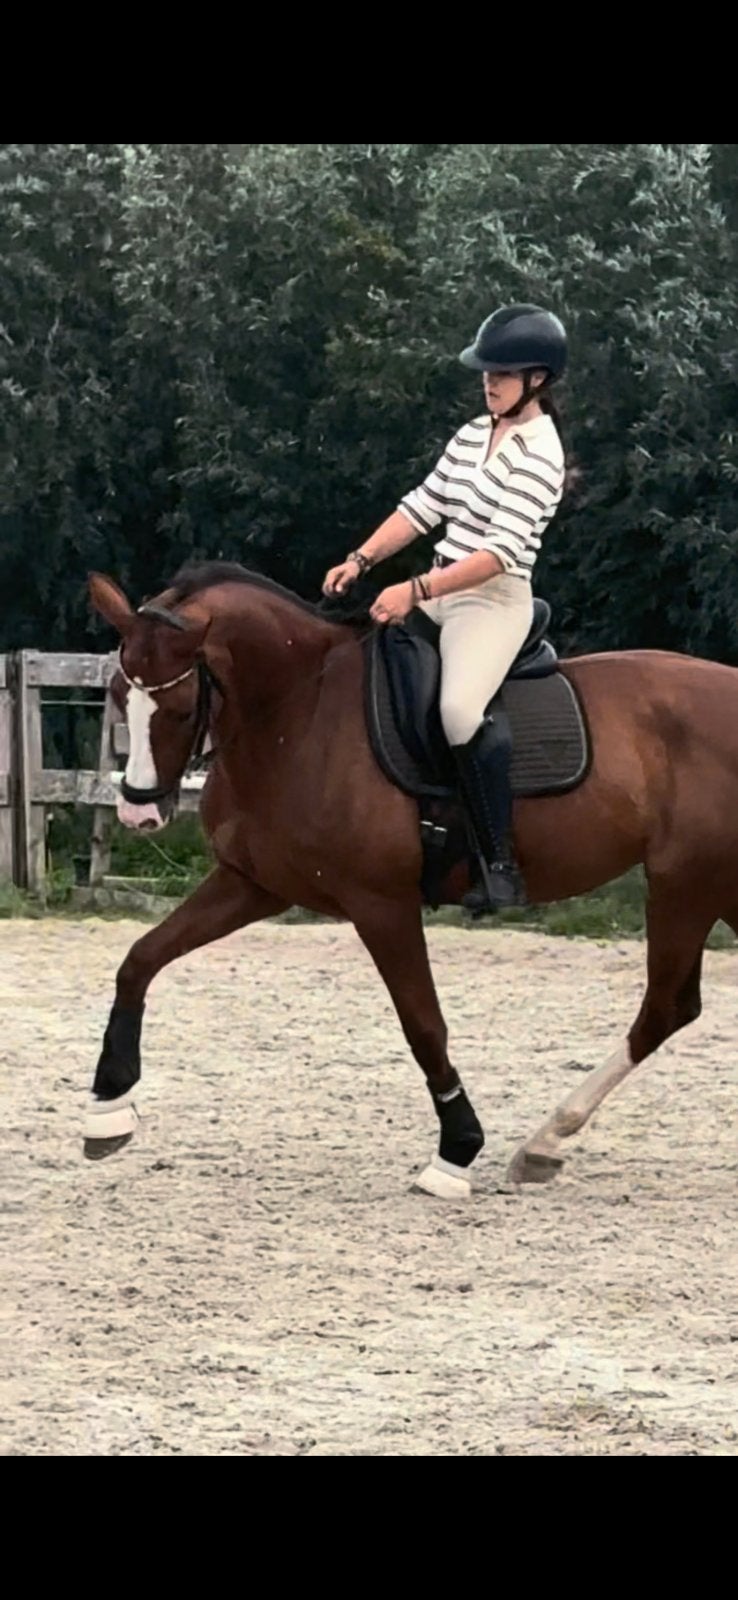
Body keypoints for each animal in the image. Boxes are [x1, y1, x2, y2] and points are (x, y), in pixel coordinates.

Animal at [83, 561, 738, 1199]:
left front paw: (457, 1152)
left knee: (664, 1007)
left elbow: (423, 1025)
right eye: (117, 694)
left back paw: (544, 1139)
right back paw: (544, 1144)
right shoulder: (252, 883)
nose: (138, 812)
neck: (300, 710)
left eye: (178, 706)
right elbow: (140, 960)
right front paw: (107, 1108)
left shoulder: (381, 905)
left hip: (685, 883)